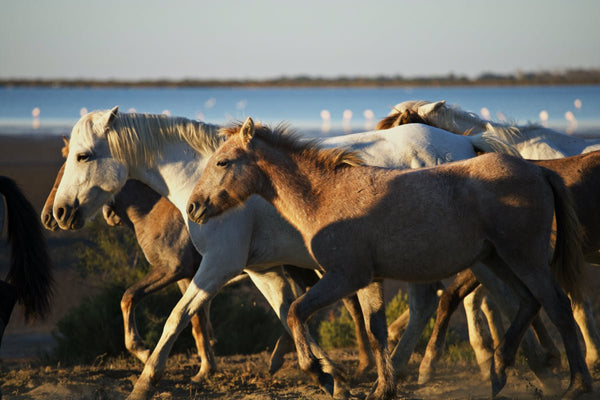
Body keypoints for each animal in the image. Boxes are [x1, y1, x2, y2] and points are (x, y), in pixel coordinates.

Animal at [52, 107, 524, 400]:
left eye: (83, 156)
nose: (59, 213)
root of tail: (466, 146)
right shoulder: (261, 271)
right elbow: (287, 314)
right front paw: (331, 378)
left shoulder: (217, 267)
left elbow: (177, 317)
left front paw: (146, 379)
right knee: (440, 302)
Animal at [189, 119, 596, 400]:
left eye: (223, 162)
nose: (193, 207)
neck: (325, 196)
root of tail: (537, 169)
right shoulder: (369, 280)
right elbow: (376, 330)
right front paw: (381, 388)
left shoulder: (344, 277)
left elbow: (295, 312)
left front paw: (322, 376)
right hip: (499, 259)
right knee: (527, 303)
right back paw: (498, 374)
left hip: (524, 259)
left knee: (557, 306)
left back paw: (575, 385)